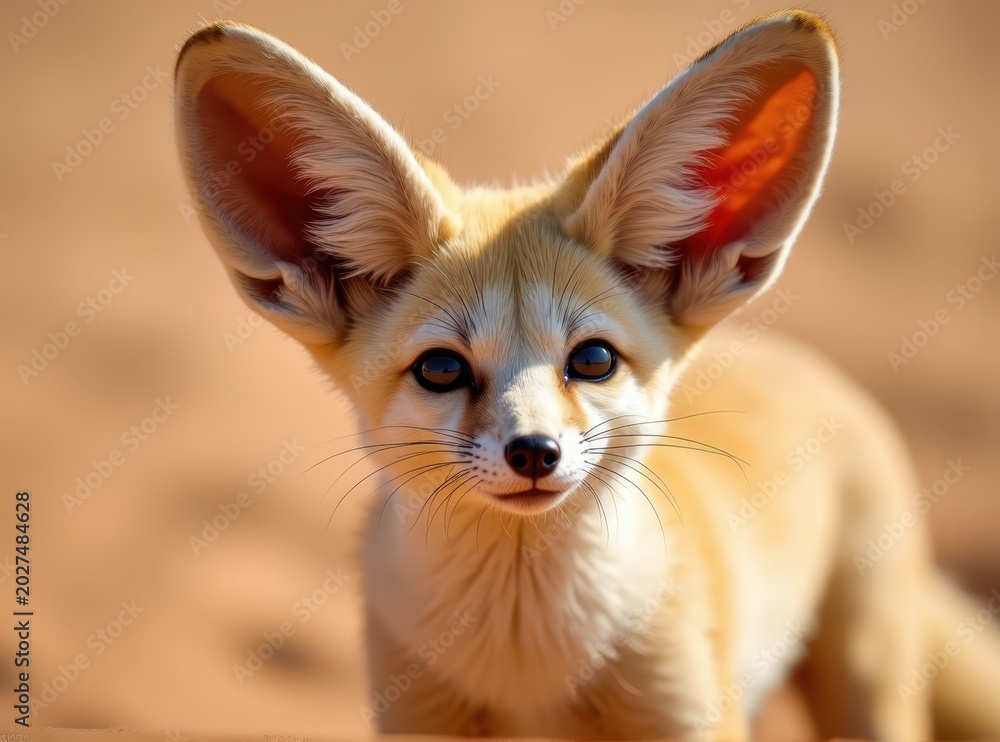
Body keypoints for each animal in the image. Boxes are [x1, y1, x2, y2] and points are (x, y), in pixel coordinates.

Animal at [174, 11, 1000, 740]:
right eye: (441, 369)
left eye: (592, 360)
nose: (534, 452)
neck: (528, 663)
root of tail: (789, 354)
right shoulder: (416, 713)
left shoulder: (685, 710)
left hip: (866, 679)